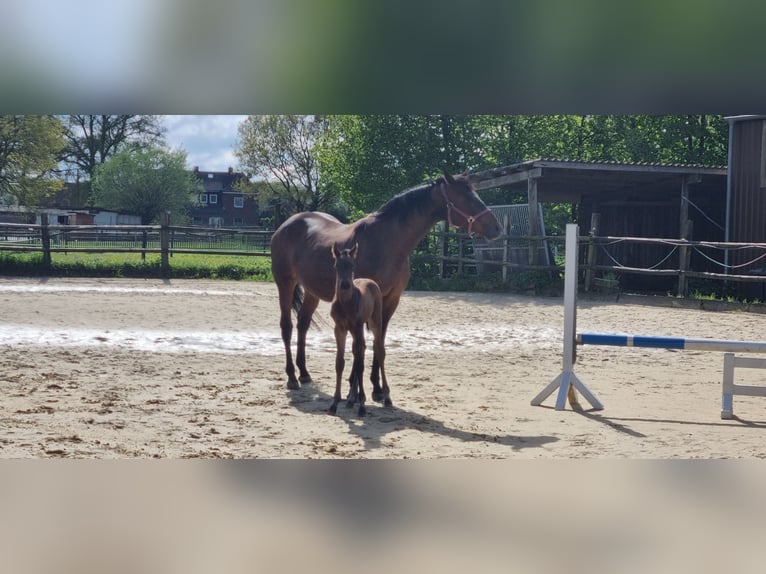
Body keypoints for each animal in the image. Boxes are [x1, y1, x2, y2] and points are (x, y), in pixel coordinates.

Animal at [272, 169, 504, 398]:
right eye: (466, 197)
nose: (497, 227)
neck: (386, 243)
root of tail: (286, 225)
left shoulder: (390, 299)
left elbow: (379, 340)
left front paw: (376, 387)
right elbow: (359, 344)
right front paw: (355, 389)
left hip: (312, 291)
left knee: (303, 324)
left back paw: (304, 373)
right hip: (285, 283)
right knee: (287, 327)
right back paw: (292, 377)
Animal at [328, 244, 390, 418]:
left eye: (352, 266)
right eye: (337, 266)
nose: (345, 285)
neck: (346, 303)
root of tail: (370, 280)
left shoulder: (357, 326)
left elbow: (361, 364)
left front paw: (362, 405)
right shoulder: (339, 328)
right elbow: (340, 362)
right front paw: (335, 403)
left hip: (375, 323)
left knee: (379, 351)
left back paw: (386, 397)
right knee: (358, 353)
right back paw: (351, 399)